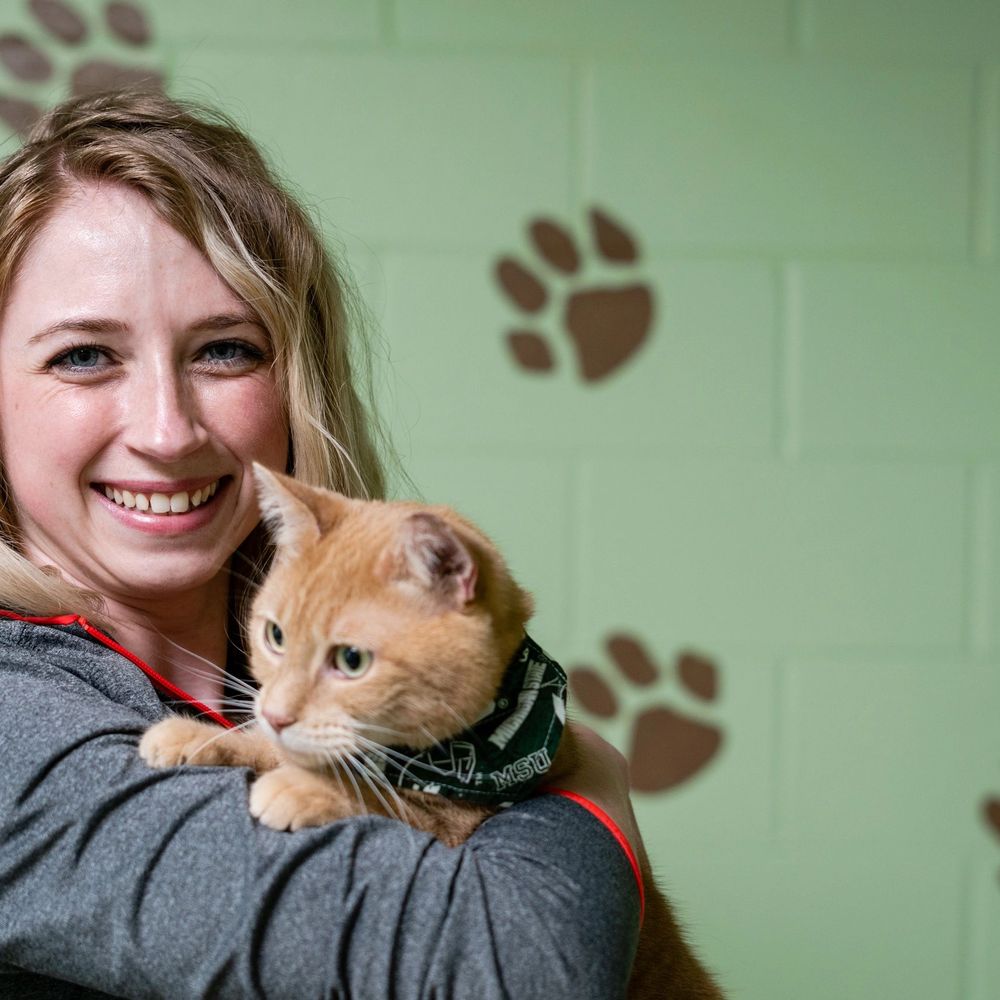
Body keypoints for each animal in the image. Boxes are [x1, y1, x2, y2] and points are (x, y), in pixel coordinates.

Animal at [140, 465, 725, 999]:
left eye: (351, 660)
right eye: (276, 636)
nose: (279, 713)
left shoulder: (452, 824)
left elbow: (379, 796)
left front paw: (301, 787)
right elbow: (272, 747)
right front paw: (196, 737)